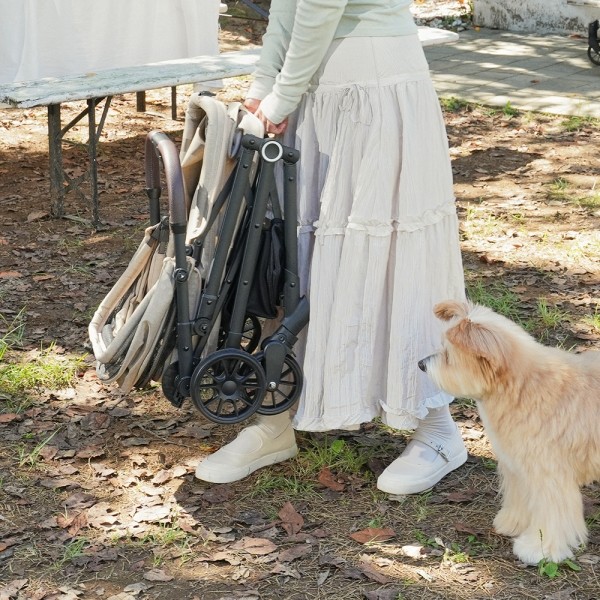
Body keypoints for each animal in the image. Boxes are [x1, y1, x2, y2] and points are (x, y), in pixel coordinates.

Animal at [418, 302, 600, 564]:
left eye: (449, 355)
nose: (421, 364)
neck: (522, 386)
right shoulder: (519, 467)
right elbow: (521, 500)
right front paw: (513, 523)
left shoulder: (549, 475)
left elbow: (552, 514)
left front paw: (540, 548)